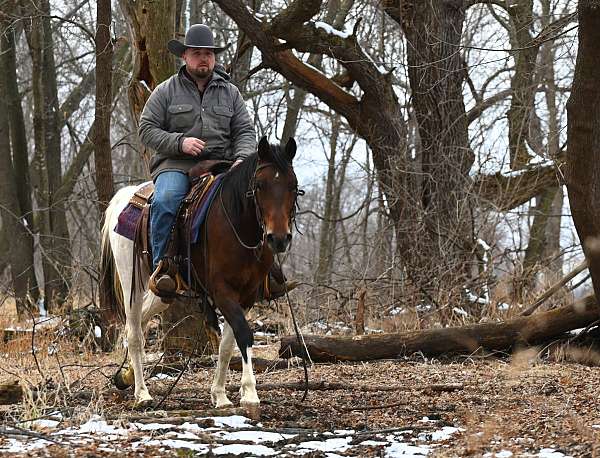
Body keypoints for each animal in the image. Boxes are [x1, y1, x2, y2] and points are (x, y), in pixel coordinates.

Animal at [100, 137, 302, 408]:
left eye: (293, 185)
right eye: (260, 185)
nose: (278, 239)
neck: (237, 224)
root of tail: (128, 195)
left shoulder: (247, 295)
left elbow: (227, 344)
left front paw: (220, 394)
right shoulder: (222, 291)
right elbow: (244, 333)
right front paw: (249, 392)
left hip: (163, 291)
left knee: (141, 323)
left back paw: (127, 376)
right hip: (130, 278)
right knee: (133, 333)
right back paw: (142, 394)